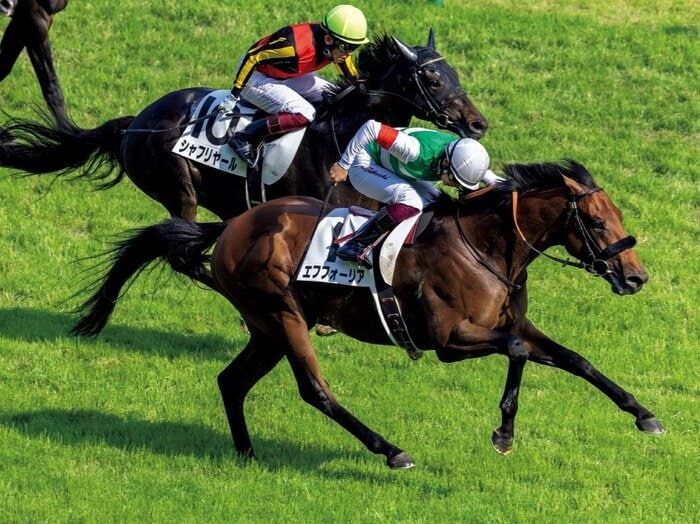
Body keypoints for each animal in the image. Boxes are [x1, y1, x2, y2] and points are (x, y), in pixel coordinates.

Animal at [0, 31, 487, 221]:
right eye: (433, 79)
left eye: (456, 73)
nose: (477, 123)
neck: (342, 137)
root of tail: (135, 123)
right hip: (179, 189)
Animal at [71, 160, 663, 469]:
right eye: (596, 220)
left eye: (617, 214)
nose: (635, 276)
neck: (486, 247)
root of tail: (232, 225)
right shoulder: (450, 340)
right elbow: (518, 353)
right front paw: (504, 431)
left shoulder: (507, 323)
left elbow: (575, 360)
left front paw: (643, 414)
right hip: (283, 317)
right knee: (315, 390)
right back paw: (389, 450)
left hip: (266, 329)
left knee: (231, 381)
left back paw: (245, 452)